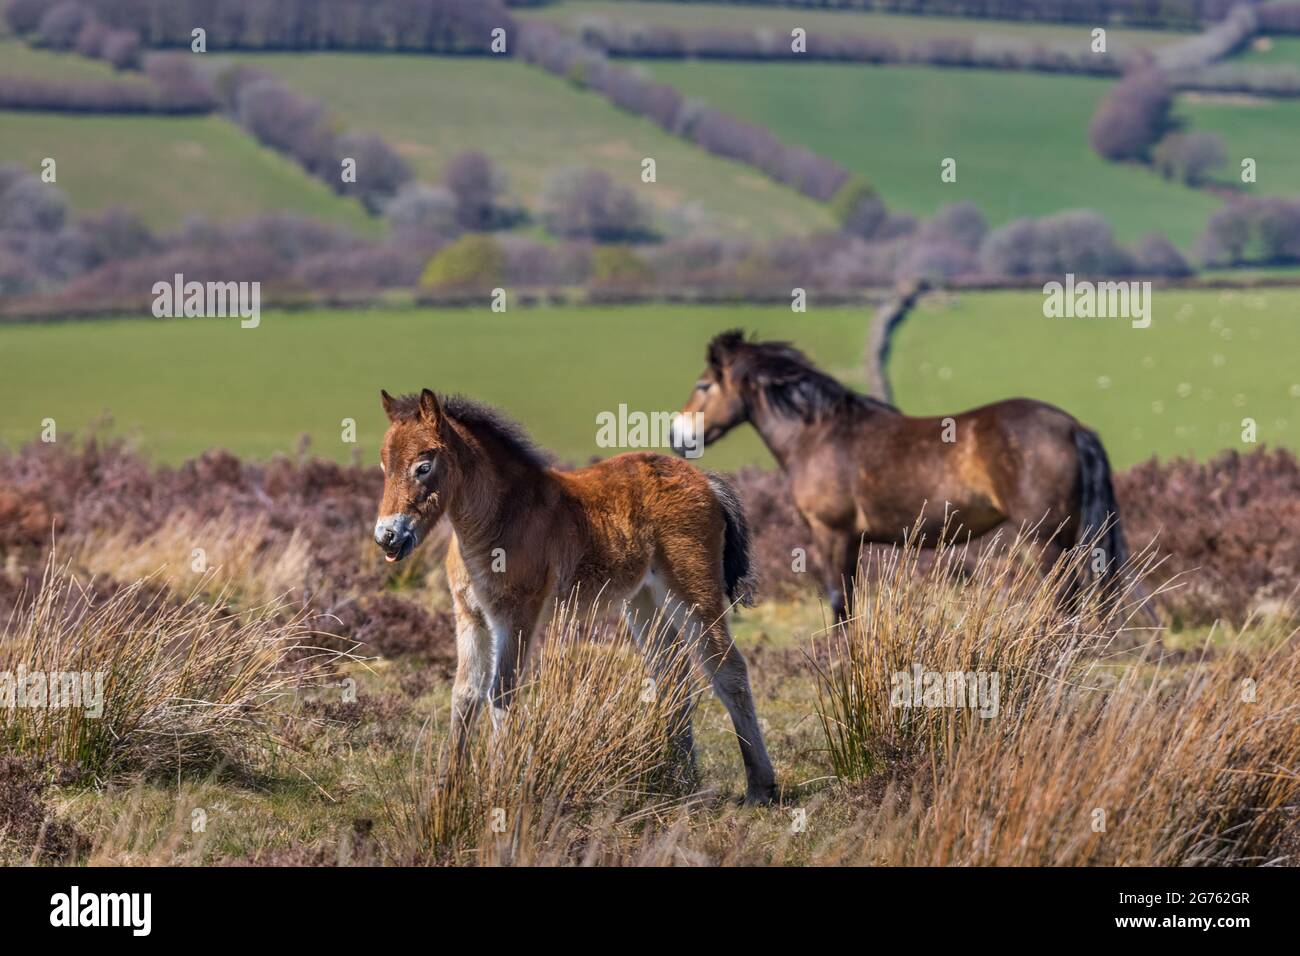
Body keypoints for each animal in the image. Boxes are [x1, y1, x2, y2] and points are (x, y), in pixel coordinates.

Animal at [371, 385, 774, 806]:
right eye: (383, 466)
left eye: (423, 466)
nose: (387, 536)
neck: (500, 518)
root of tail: (704, 479)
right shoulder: (470, 617)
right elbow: (465, 694)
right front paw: (447, 792)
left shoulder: (516, 615)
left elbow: (501, 693)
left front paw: (499, 788)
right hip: (643, 601)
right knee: (672, 674)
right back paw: (680, 781)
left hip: (693, 589)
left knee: (727, 668)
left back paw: (759, 788)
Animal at [676, 332, 1133, 624]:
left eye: (704, 385)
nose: (678, 435)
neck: (819, 434)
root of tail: (1074, 428)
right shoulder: (852, 541)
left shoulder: (832, 534)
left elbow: (840, 604)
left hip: (1045, 539)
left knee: (1064, 601)